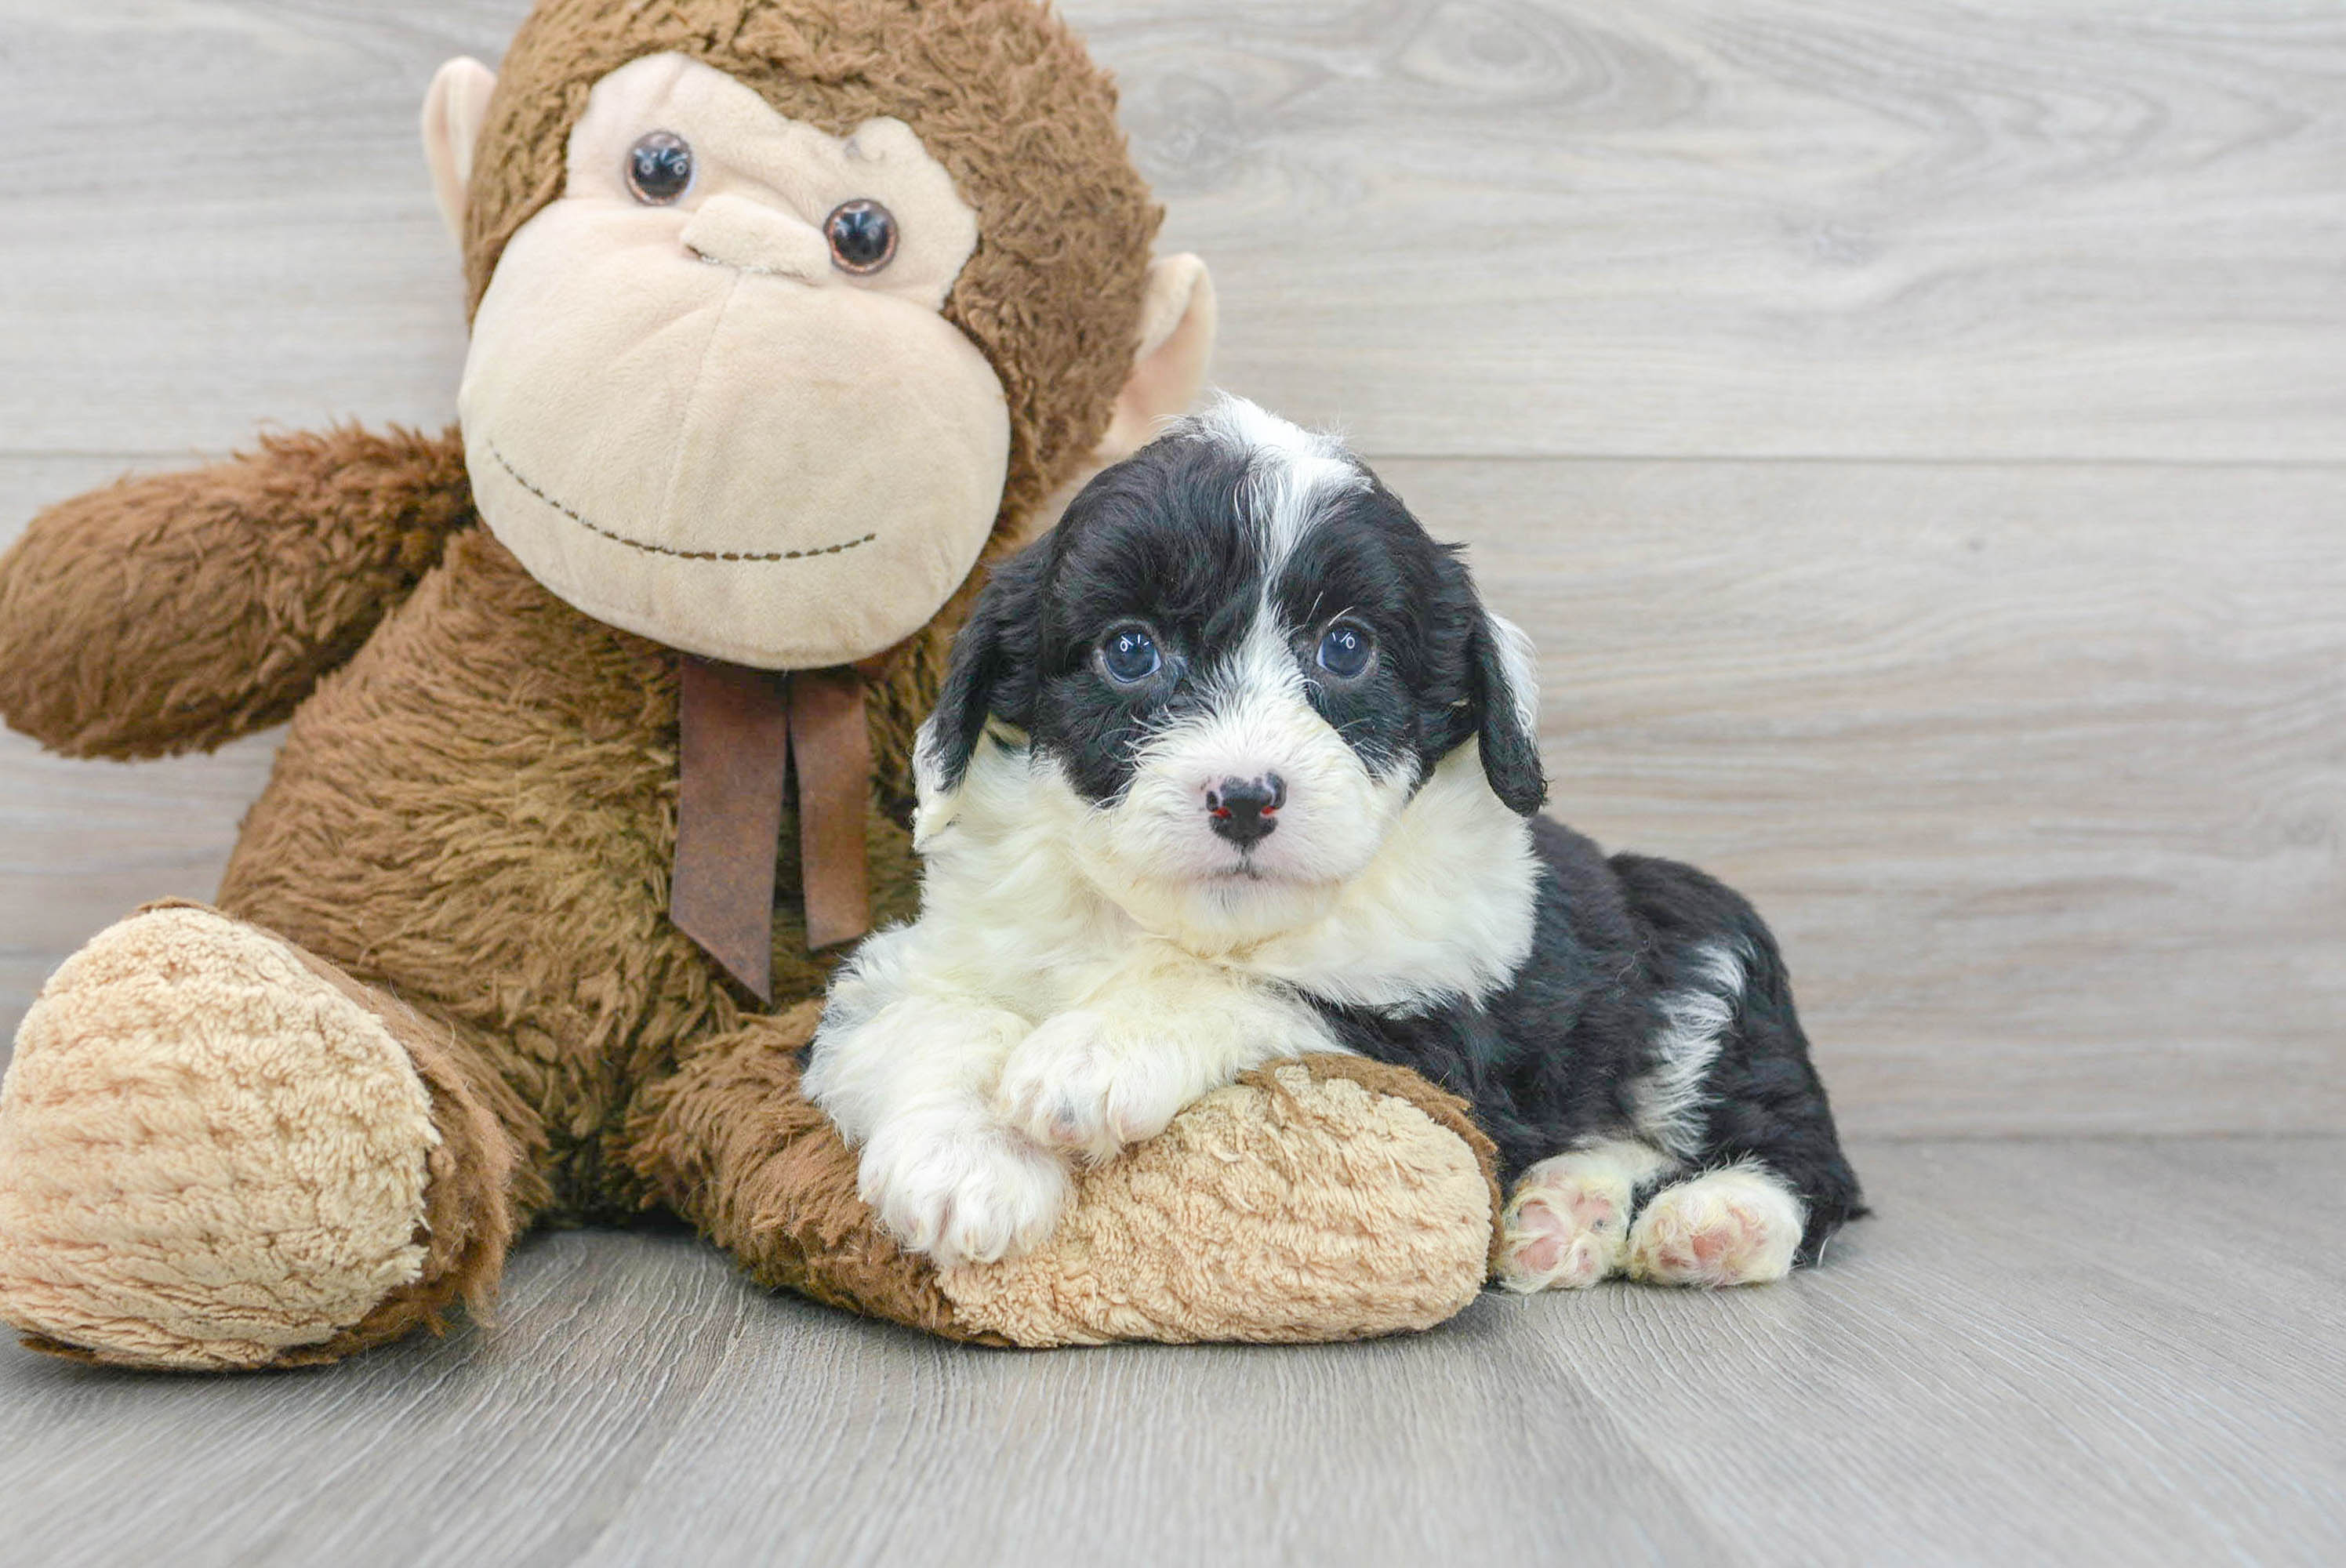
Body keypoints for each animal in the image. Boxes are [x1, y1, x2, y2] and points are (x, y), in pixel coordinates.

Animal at [807, 398, 1867, 1295]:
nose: (1243, 798)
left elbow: (1259, 988)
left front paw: (1092, 1054)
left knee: (1803, 1152)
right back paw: (1564, 1214)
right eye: (1131, 650)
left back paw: (1717, 1218)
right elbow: (939, 1019)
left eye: (1346, 647)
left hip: (1706, 942)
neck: (1189, 920)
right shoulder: (904, 970)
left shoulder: (1436, 1027)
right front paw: (968, 1163)